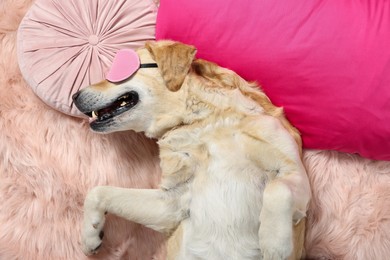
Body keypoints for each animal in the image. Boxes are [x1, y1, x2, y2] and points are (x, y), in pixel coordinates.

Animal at [72, 40, 310, 260]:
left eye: (115, 72)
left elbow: (278, 190)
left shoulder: (294, 173)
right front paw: (90, 235)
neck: (203, 122)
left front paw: (274, 244)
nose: (74, 96)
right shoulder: (171, 202)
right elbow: (98, 191)